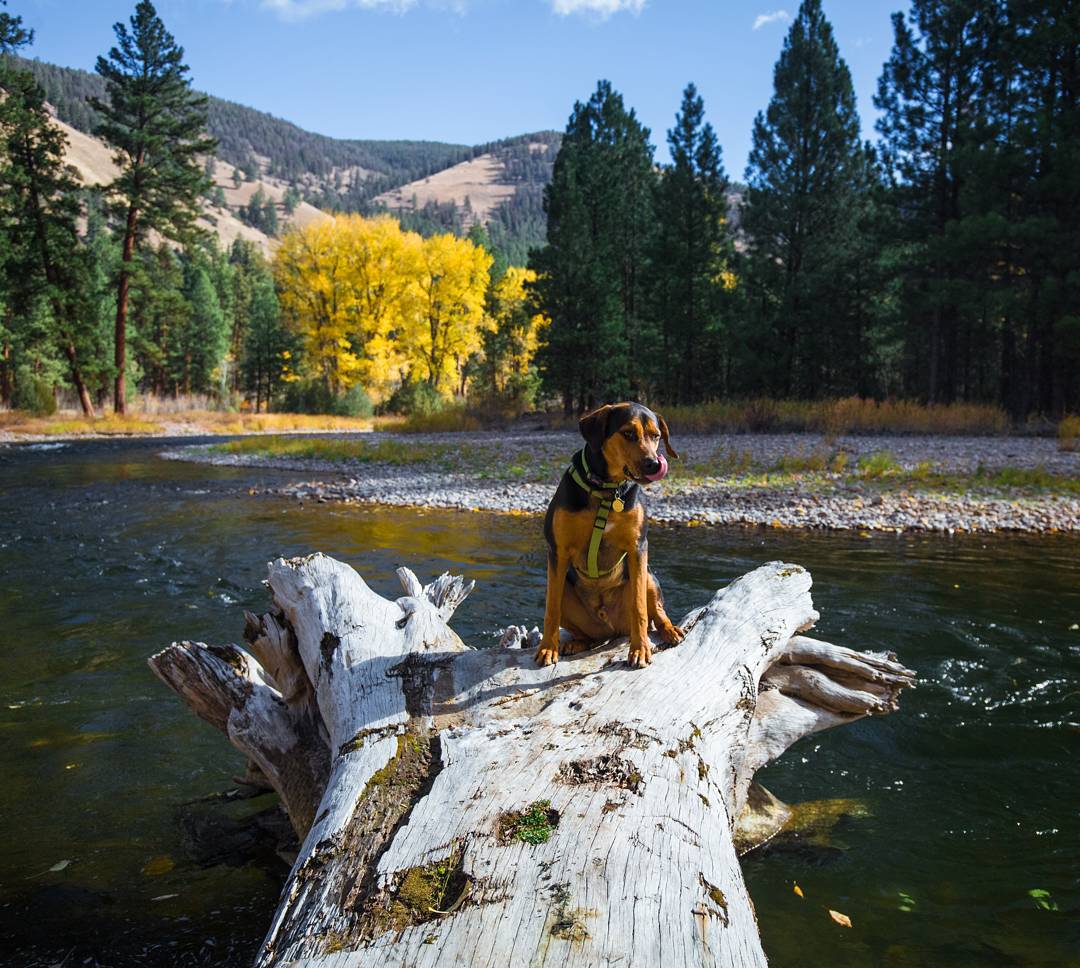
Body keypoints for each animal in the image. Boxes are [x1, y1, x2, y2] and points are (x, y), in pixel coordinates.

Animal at [537, 399, 686, 665]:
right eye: (628, 433)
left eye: (656, 436)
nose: (654, 464)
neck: (607, 490)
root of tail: (610, 627)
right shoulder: (557, 552)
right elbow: (551, 609)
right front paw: (547, 648)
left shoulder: (638, 548)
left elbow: (639, 607)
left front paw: (640, 649)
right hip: (569, 594)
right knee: (582, 631)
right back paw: (577, 643)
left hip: (649, 576)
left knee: (657, 612)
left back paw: (670, 630)